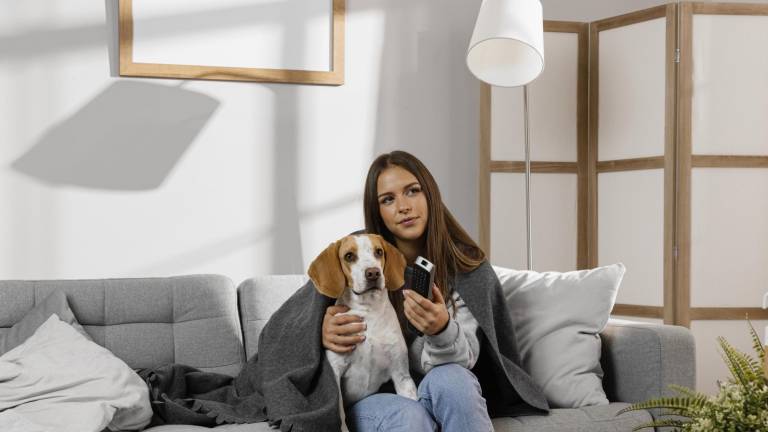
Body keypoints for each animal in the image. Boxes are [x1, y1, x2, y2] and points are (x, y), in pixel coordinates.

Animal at [308, 235, 420, 410]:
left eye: (379, 252)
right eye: (349, 256)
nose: (373, 273)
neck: (369, 312)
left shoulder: (401, 375)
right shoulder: (336, 374)